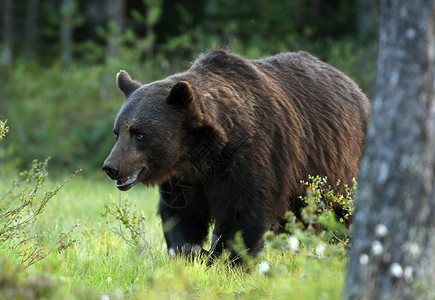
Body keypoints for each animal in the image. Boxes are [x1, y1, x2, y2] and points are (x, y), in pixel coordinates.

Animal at [103, 48, 372, 260]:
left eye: (139, 134)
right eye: (117, 132)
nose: (111, 167)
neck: (200, 154)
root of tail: (355, 88)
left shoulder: (251, 155)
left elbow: (243, 213)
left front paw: (226, 259)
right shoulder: (183, 178)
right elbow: (180, 215)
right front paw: (192, 252)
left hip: (339, 164)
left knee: (342, 211)